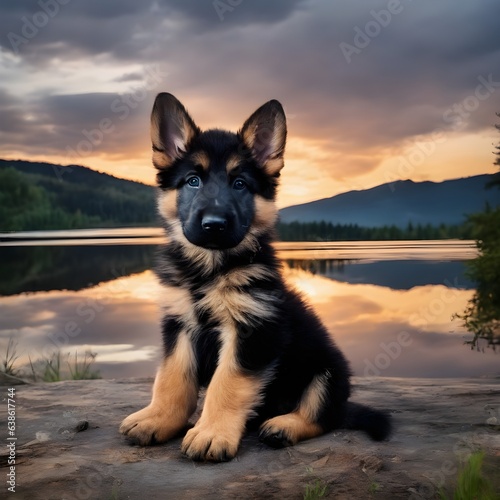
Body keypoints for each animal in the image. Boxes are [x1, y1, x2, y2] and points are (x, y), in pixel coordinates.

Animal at [120, 93, 390, 460]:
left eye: (239, 184)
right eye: (193, 180)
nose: (214, 225)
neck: (211, 270)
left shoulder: (254, 329)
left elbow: (227, 383)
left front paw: (211, 432)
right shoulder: (179, 325)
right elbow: (171, 379)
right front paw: (159, 418)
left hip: (329, 371)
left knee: (324, 415)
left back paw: (284, 425)